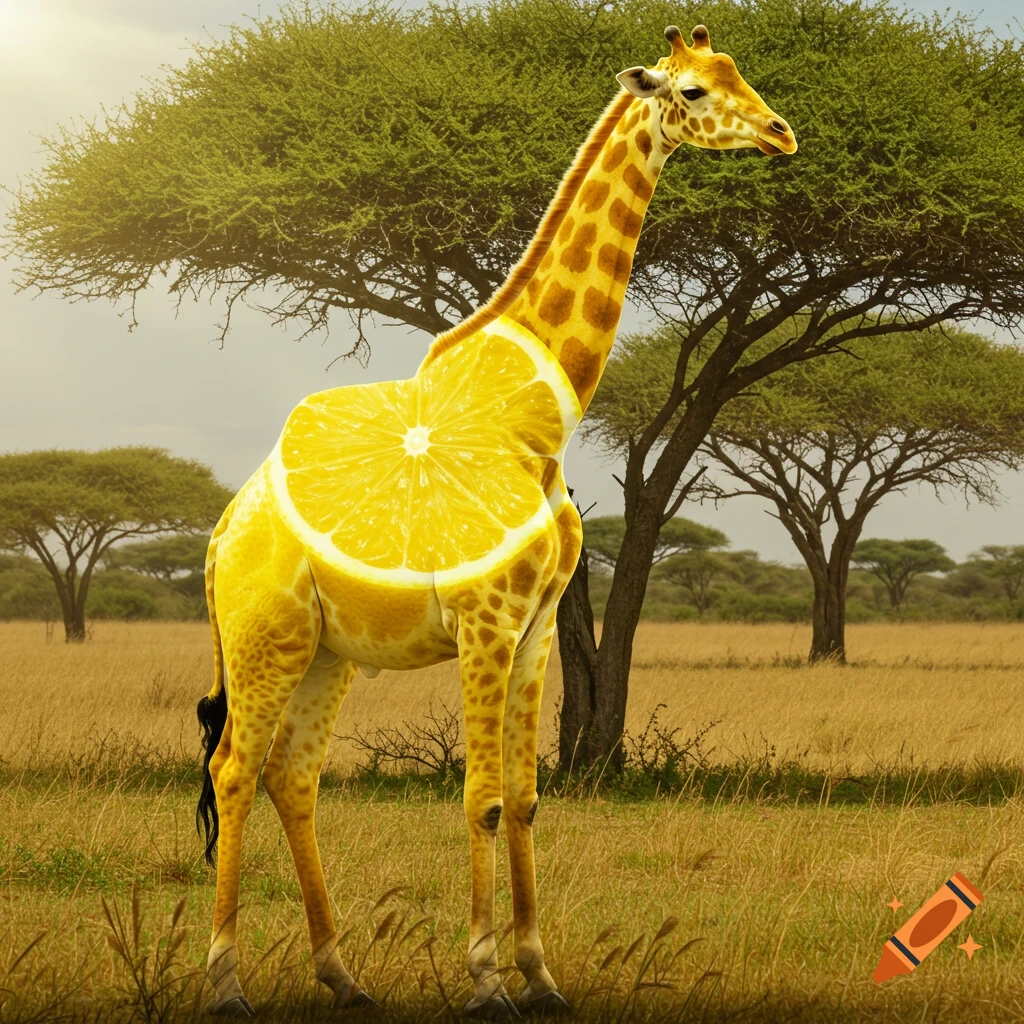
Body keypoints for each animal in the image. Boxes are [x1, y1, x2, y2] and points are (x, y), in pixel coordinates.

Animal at [196, 24, 795, 1020]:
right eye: (692, 91)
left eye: (738, 71)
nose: (782, 132)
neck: (537, 421)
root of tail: (217, 539)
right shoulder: (484, 623)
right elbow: (478, 795)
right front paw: (483, 980)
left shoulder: (536, 627)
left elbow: (523, 797)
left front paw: (542, 975)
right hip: (263, 636)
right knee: (234, 770)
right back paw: (226, 982)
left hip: (328, 651)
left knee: (293, 775)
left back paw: (343, 975)